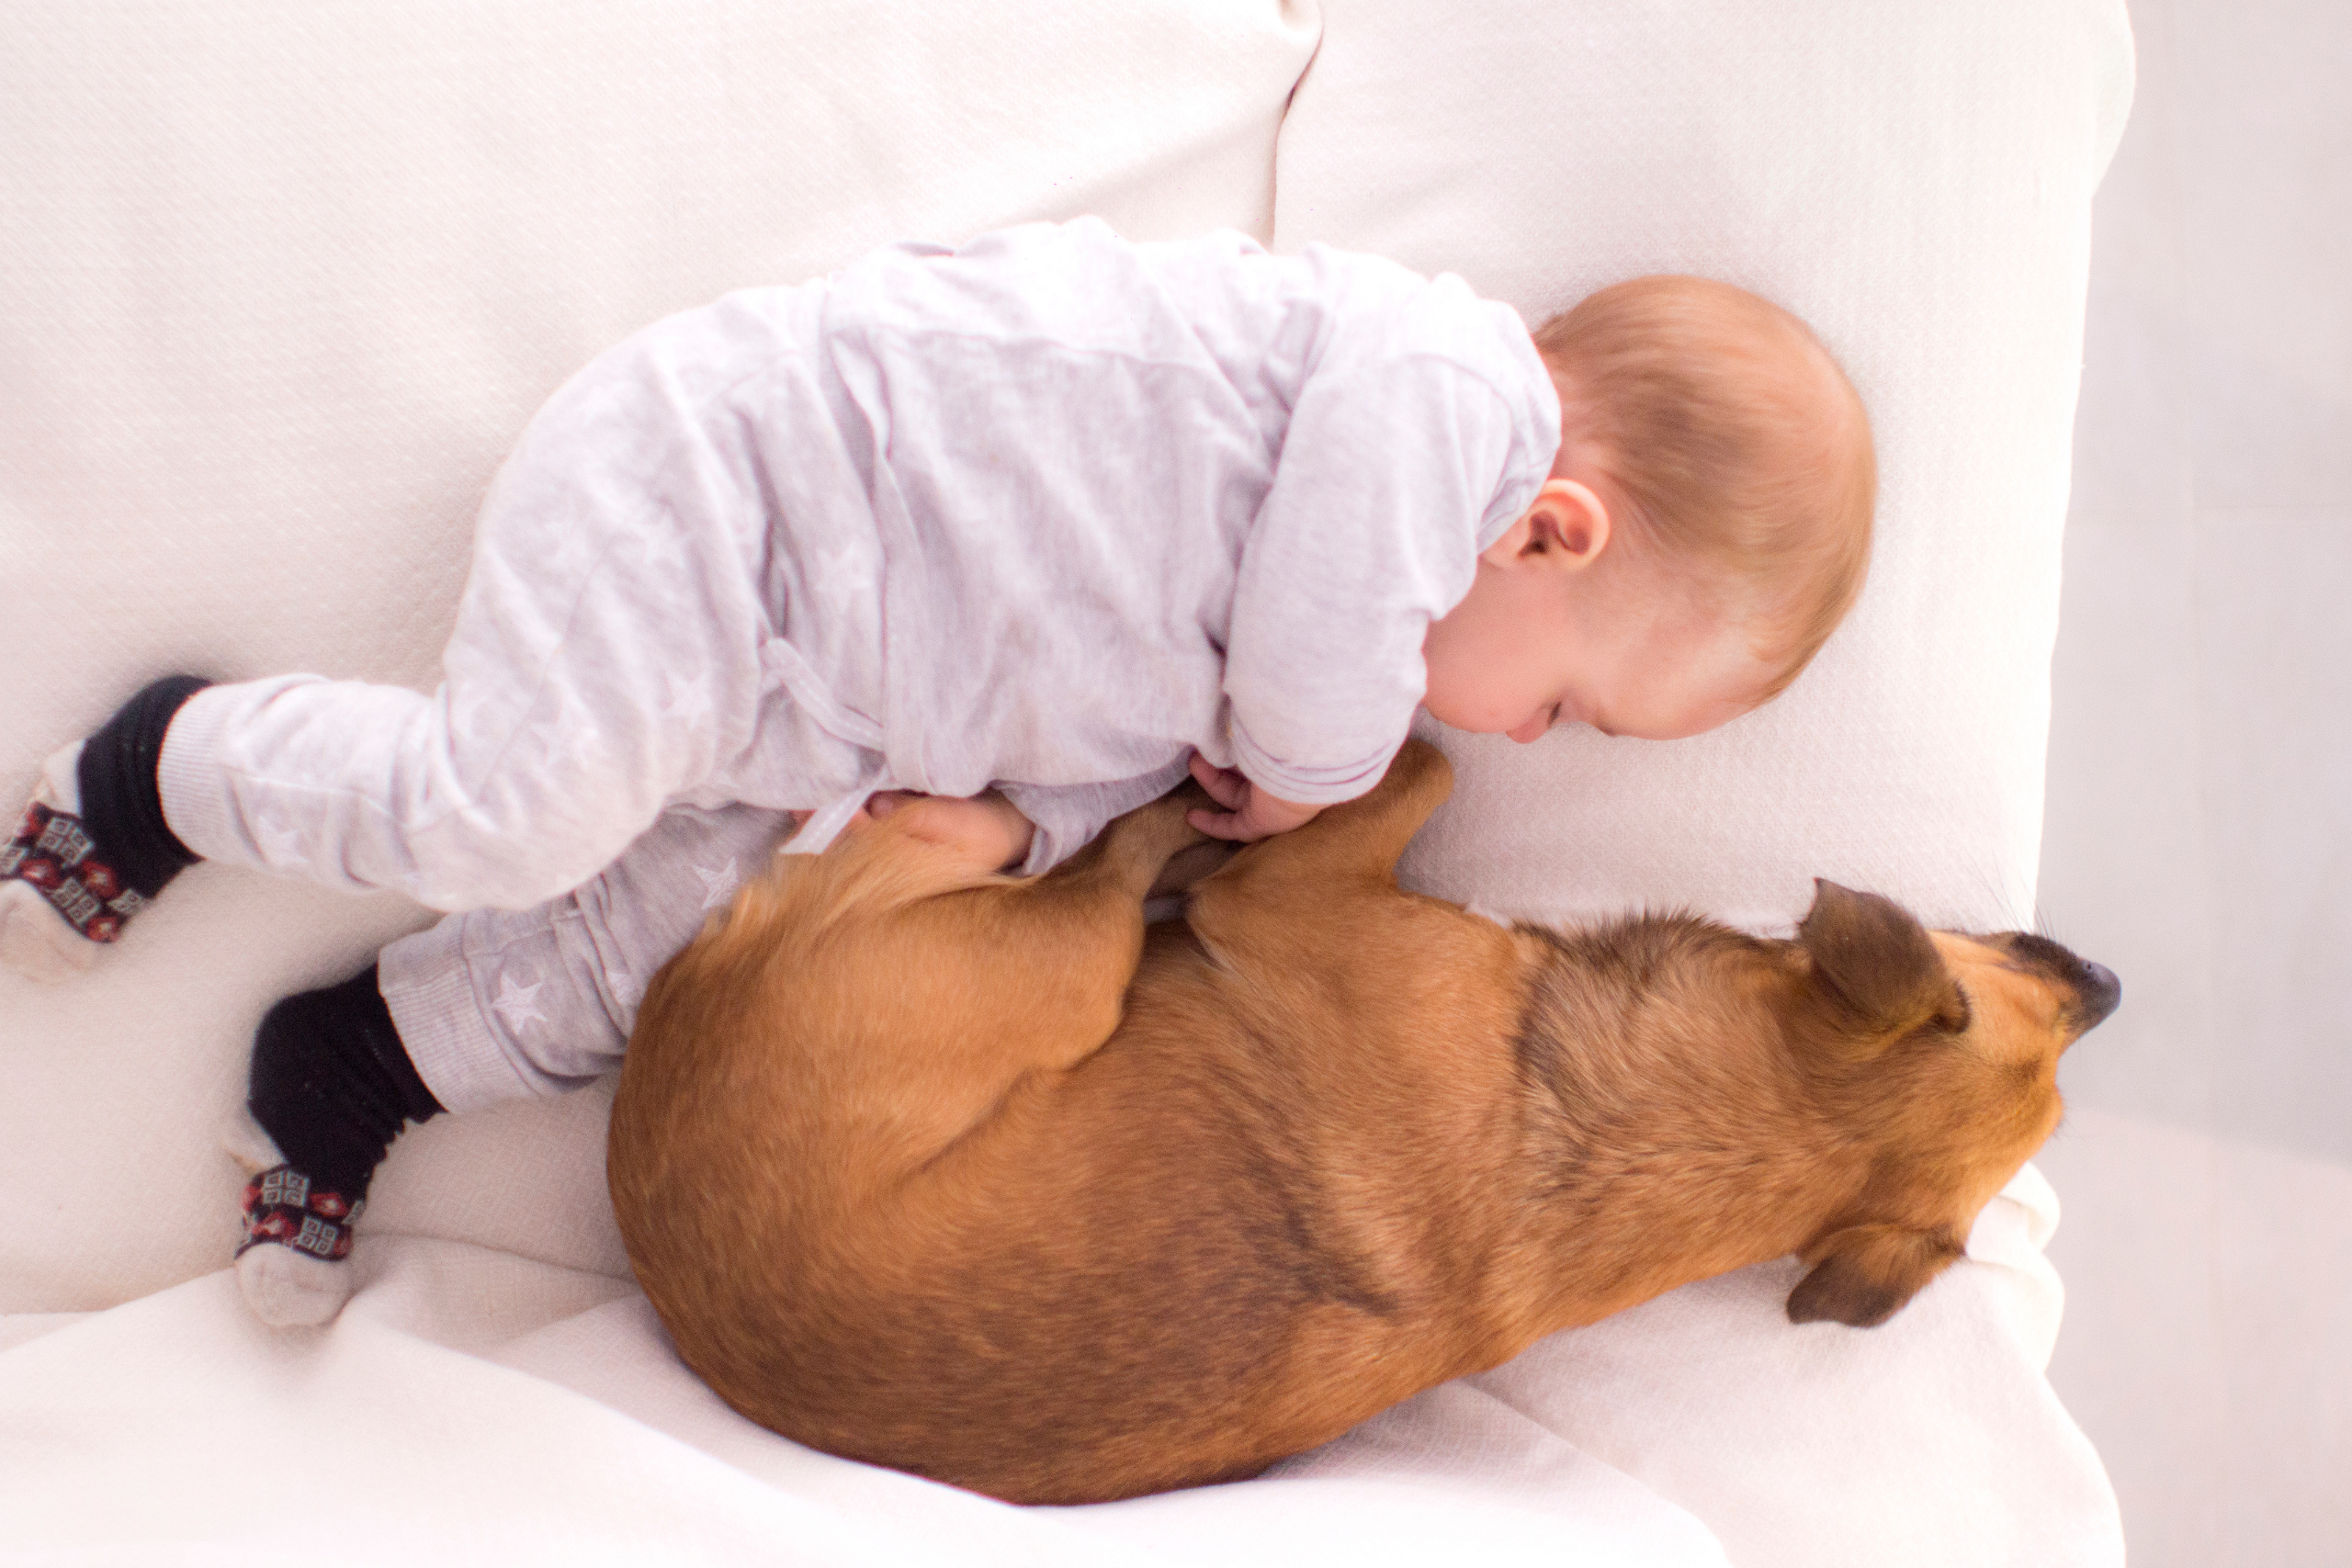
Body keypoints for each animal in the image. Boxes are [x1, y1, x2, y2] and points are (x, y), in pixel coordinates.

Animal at [606, 742, 2117, 1514]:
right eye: (2046, 1005)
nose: (2106, 977)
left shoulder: (1282, 900)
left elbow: (1428, 763)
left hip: (1058, 957)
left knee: (1092, 872)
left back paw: (1133, 808)